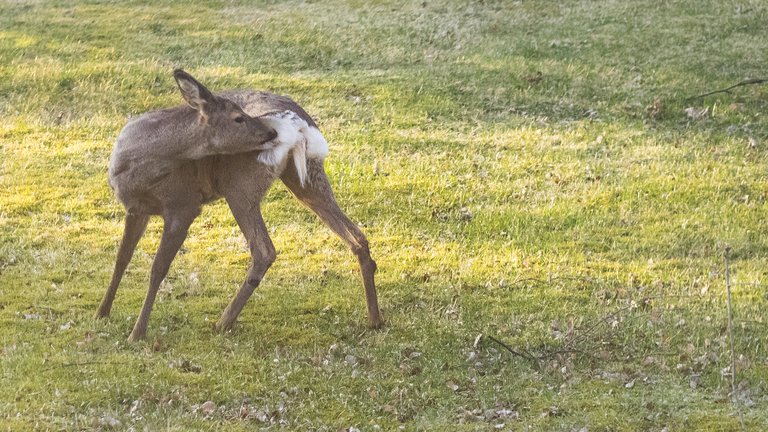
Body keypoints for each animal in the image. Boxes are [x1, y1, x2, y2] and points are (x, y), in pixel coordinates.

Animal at [96, 70, 384, 340]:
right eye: (238, 117)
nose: (271, 132)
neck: (136, 167)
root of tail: (297, 123)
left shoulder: (184, 205)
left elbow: (158, 268)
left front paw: (137, 333)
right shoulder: (136, 209)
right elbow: (122, 257)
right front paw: (102, 312)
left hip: (240, 186)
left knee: (264, 250)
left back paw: (223, 322)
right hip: (307, 176)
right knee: (357, 237)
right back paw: (375, 319)